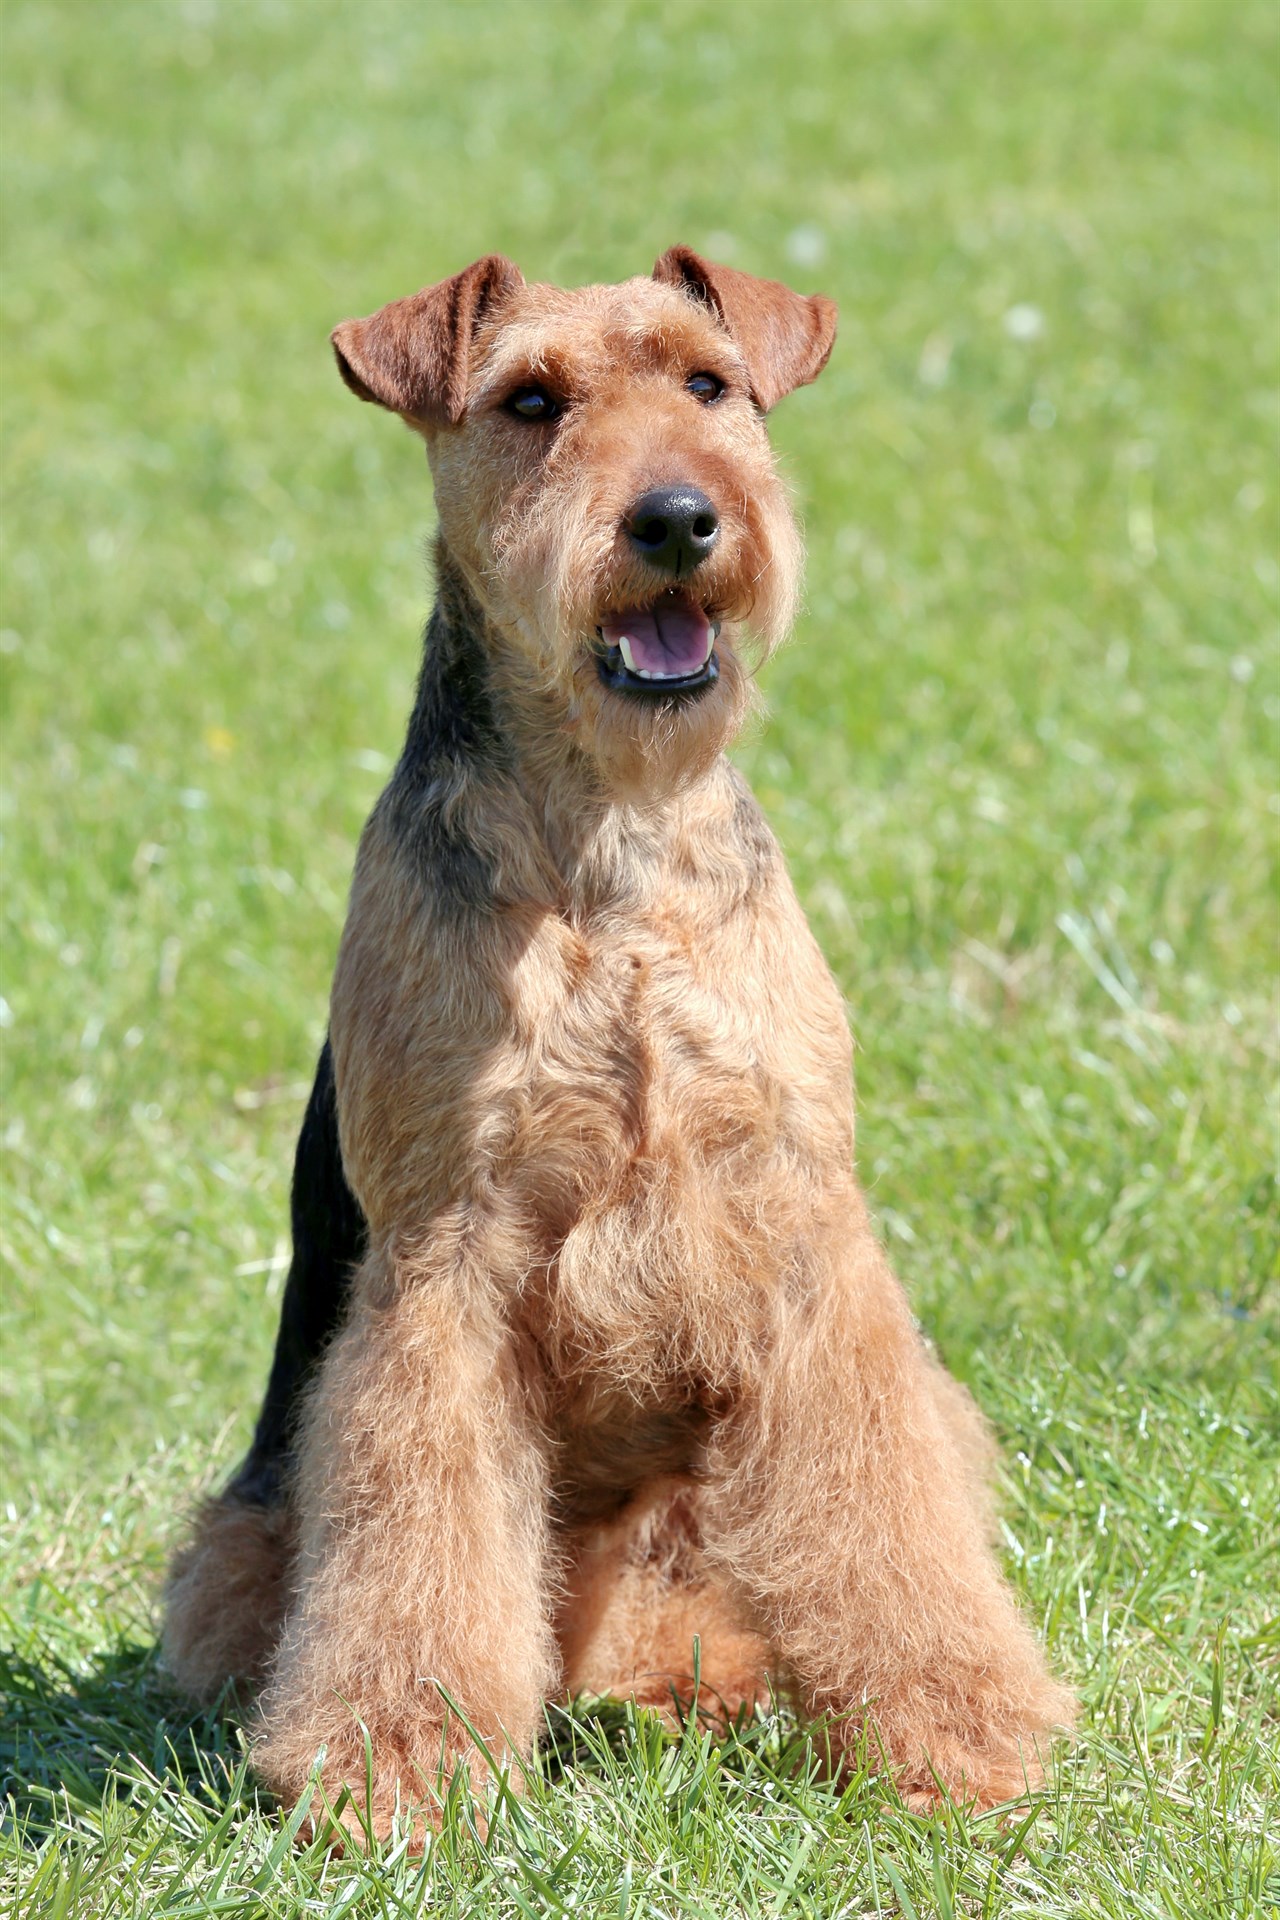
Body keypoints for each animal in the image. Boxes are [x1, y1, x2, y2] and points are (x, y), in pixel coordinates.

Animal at [163, 247, 1082, 1835]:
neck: (614, 846)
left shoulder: (799, 1228)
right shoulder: (446, 1260)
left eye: (708, 382)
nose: (674, 519)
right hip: (257, 1531)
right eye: (532, 401)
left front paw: (962, 1737)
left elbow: (887, 1533)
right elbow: (421, 1538)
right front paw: (397, 1772)